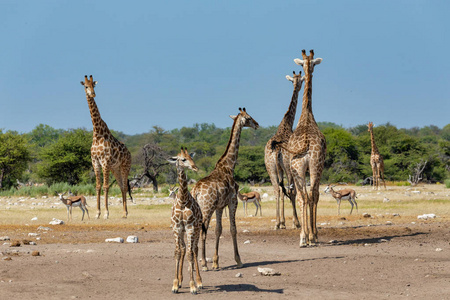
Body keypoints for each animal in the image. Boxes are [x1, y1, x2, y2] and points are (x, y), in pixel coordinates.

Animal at [80, 75, 132, 219]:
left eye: (94, 85)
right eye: (86, 86)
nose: (93, 93)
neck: (97, 134)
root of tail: (130, 153)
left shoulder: (105, 162)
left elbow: (106, 186)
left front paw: (106, 213)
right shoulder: (95, 162)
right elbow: (98, 186)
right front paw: (97, 213)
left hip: (125, 166)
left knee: (124, 186)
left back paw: (125, 213)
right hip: (116, 168)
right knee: (121, 186)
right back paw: (124, 212)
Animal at [191, 108, 260, 272]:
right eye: (249, 118)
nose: (257, 124)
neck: (229, 166)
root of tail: (195, 191)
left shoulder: (220, 206)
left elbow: (218, 230)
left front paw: (216, 262)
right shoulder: (233, 201)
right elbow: (233, 229)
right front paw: (239, 260)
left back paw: (195, 264)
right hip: (206, 208)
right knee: (202, 231)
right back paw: (203, 264)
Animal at [262, 71, 304, 230]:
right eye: (300, 81)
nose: (298, 86)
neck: (287, 123)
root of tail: (277, 148)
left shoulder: (278, 168)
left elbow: (280, 190)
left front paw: (282, 221)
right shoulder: (288, 166)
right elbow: (291, 190)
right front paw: (292, 222)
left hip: (270, 167)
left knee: (276, 189)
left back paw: (277, 223)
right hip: (288, 166)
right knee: (291, 190)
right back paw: (295, 222)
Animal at [272, 48, 326, 246]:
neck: (307, 115)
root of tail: (306, 144)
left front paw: (308, 234)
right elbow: (311, 196)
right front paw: (312, 234)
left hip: (300, 168)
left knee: (303, 195)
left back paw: (304, 236)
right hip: (313, 167)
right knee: (311, 194)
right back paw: (309, 235)